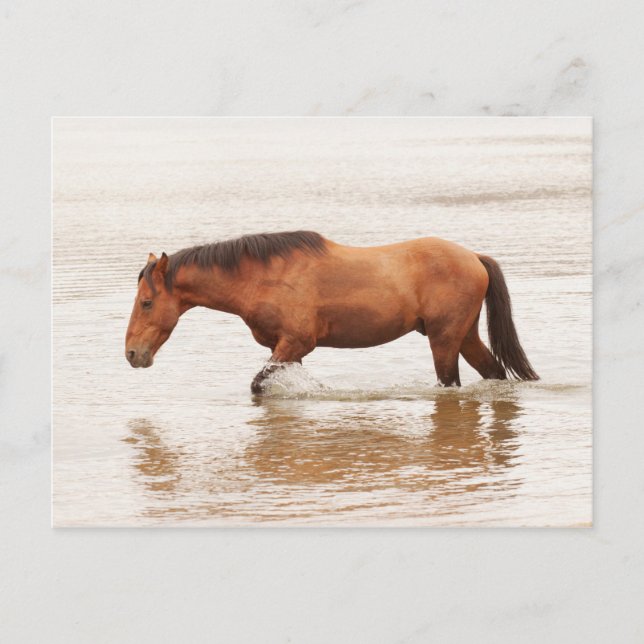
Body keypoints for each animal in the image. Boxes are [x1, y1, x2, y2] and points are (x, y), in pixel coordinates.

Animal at [125, 230, 538, 393]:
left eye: (147, 302)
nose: (132, 354)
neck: (263, 277)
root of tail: (474, 258)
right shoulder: (285, 349)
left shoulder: (295, 342)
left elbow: (258, 385)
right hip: (464, 336)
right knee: (494, 371)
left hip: (444, 341)